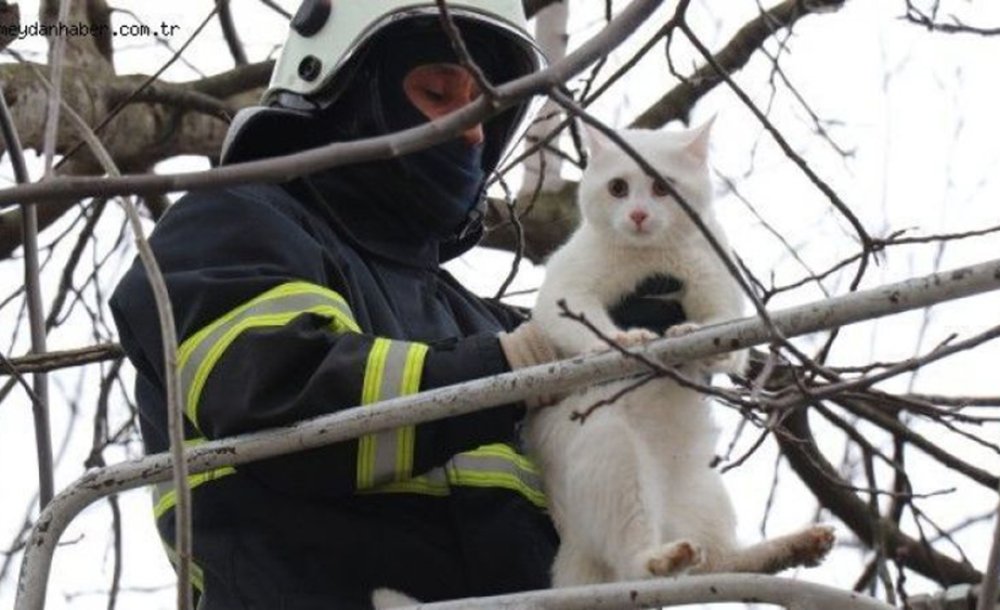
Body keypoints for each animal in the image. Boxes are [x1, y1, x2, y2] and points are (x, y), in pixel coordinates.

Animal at [524, 120, 836, 584]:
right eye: (618, 187)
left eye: (661, 186)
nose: (638, 214)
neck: (651, 258)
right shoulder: (565, 290)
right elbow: (576, 319)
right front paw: (623, 339)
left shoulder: (721, 288)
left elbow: (724, 332)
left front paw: (694, 334)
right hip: (610, 450)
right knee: (634, 564)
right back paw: (662, 557)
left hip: (706, 491)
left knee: (720, 565)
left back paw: (795, 546)